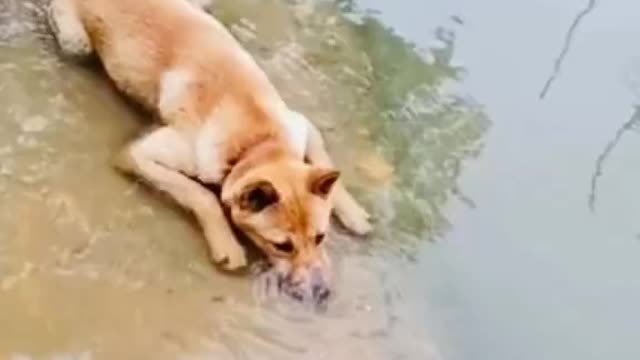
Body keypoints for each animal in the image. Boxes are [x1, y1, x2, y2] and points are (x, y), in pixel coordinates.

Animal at [47, 0, 372, 304]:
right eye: (281, 246)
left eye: (321, 237)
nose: (320, 293)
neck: (258, 144)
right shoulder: (138, 154)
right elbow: (202, 195)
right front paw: (226, 244)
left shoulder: (300, 124)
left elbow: (324, 160)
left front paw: (354, 213)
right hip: (77, 42)